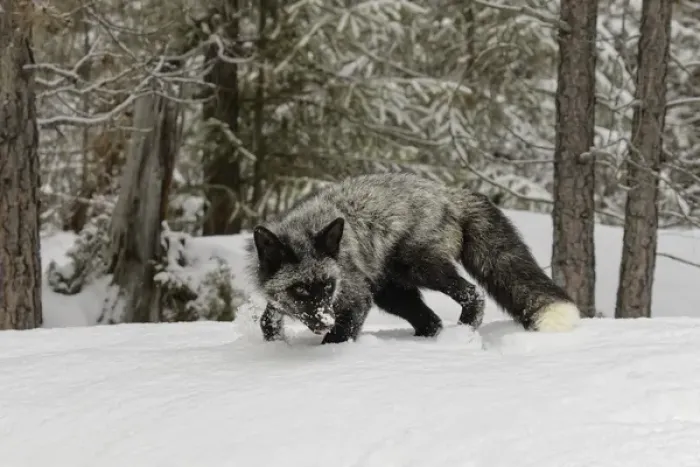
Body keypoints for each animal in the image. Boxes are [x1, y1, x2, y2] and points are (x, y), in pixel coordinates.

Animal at [245, 173, 581, 344]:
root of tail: (449, 193)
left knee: (472, 294)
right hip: (391, 292)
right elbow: (267, 321)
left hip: (420, 269)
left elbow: (340, 336)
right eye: (300, 289)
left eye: (328, 286)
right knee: (431, 321)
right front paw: (274, 342)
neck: (304, 226)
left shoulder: (357, 297)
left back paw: (463, 332)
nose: (325, 319)